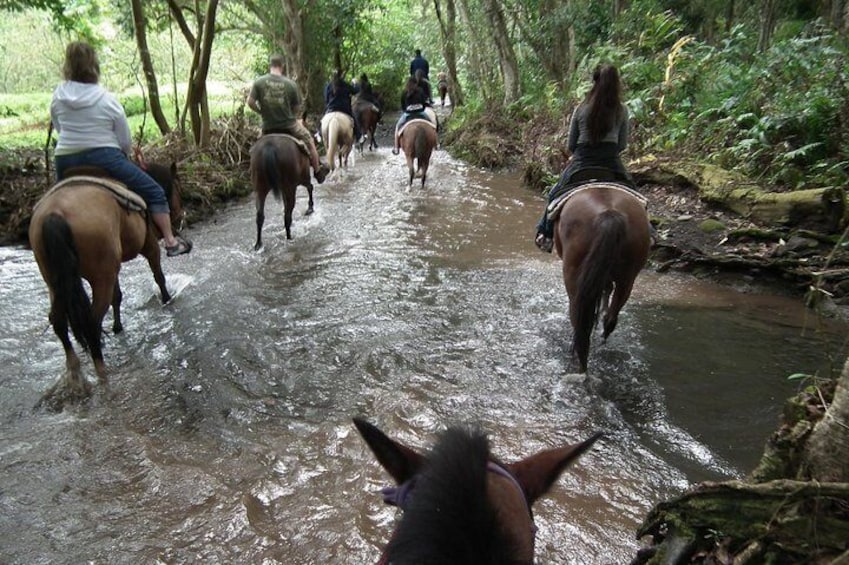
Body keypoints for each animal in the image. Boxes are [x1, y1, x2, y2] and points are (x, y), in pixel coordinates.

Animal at [28, 161, 184, 408]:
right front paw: (167, 300)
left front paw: (118, 327)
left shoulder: (114, 267)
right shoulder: (149, 245)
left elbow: (117, 296)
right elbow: (158, 276)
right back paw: (103, 376)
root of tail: (55, 213)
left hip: (56, 281)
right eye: (178, 189)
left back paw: (76, 376)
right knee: (92, 323)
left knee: (58, 321)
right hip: (100, 276)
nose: (178, 217)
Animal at [548, 172, 648, 374]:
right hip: (628, 277)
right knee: (611, 318)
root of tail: (609, 213)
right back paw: (602, 341)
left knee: (578, 316)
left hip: (572, 272)